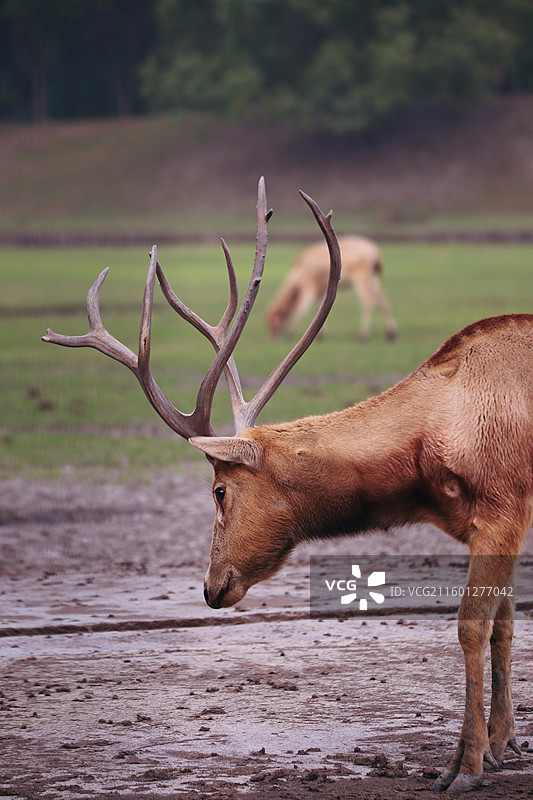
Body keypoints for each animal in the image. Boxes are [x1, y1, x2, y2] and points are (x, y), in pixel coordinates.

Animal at [266, 235, 396, 341]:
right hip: (372, 278)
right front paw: (321, 335)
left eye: (274, 323)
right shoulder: (320, 290)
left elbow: (300, 309)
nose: (272, 337)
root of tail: (375, 251)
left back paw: (363, 335)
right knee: (382, 299)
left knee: (368, 301)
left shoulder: (309, 286)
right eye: (267, 322)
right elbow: (317, 307)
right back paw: (390, 333)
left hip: (360, 277)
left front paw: (289, 334)